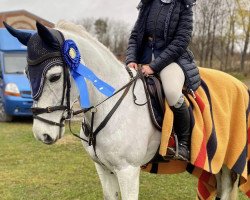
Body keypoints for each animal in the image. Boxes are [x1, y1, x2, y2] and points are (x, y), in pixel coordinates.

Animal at [4, 21, 240, 199]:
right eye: (26, 73)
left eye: (54, 76)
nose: (42, 134)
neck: (108, 104)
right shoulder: (103, 168)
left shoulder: (128, 171)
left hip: (227, 160)